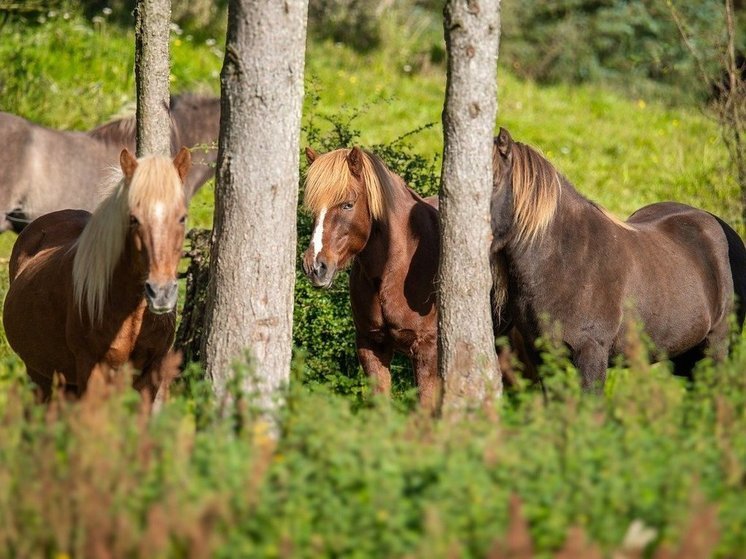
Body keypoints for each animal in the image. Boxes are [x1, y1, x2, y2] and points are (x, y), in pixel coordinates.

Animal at [2, 144, 192, 398]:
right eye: (133, 218)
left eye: (182, 217)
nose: (161, 293)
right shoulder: (93, 374)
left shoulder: (151, 375)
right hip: (39, 375)